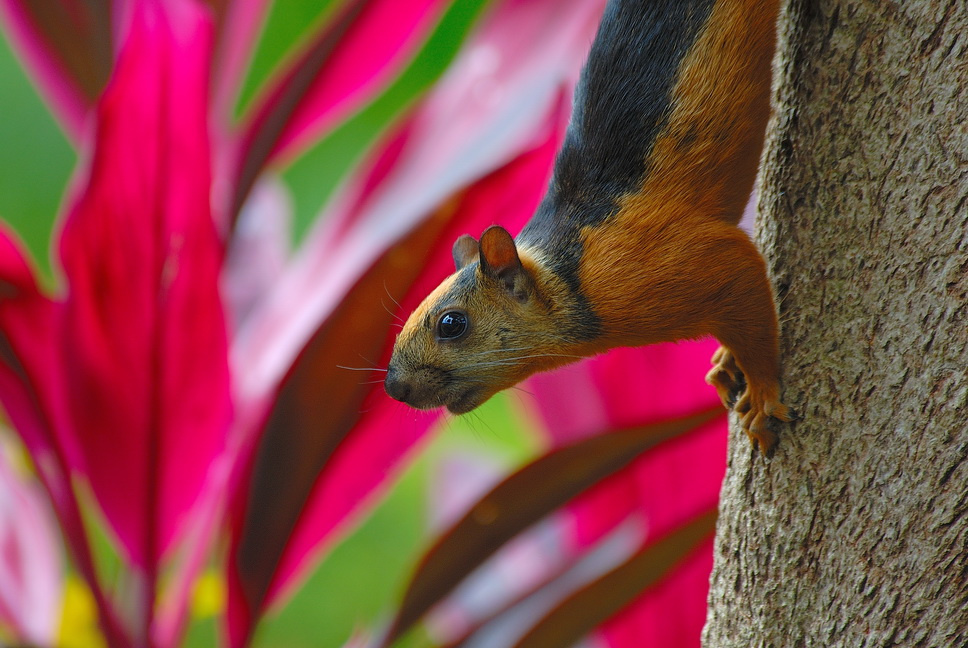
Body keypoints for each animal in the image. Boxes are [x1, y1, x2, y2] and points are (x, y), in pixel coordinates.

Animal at [384, 0, 795, 453]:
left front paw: (761, 391)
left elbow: (747, 292)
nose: (394, 388)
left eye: (452, 324)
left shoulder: (690, 258)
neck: (569, 277)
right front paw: (725, 361)